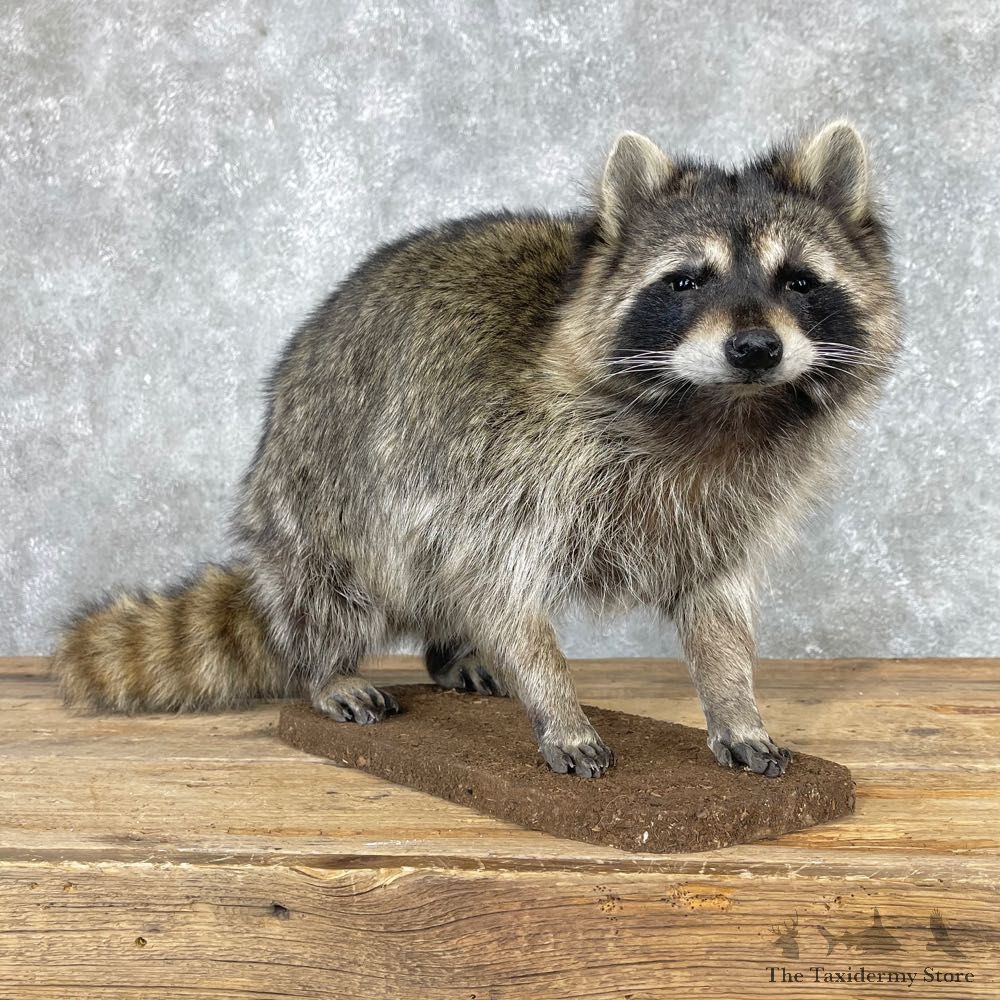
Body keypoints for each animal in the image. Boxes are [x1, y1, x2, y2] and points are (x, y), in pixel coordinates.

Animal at [56, 121, 900, 779]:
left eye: (799, 281)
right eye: (688, 280)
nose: (755, 348)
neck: (721, 408)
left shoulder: (736, 501)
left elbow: (716, 604)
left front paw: (733, 703)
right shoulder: (514, 465)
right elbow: (504, 589)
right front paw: (557, 701)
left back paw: (447, 648)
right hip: (314, 479)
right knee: (334, 585)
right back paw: (325, 668)